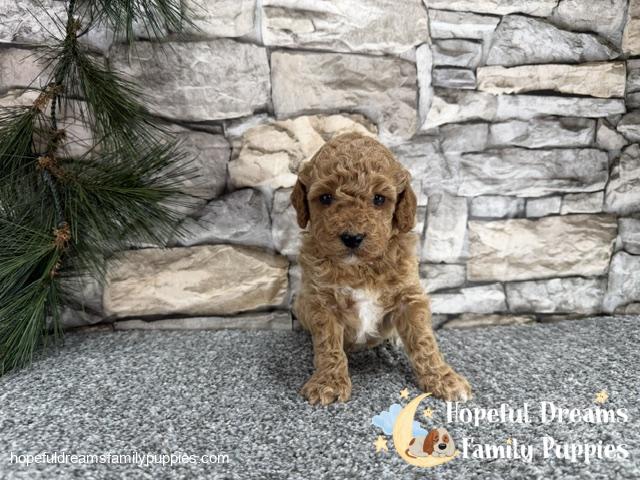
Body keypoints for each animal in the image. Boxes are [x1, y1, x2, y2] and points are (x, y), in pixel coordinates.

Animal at [291, 133, 471, 405]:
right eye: (325, 198)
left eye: (378, 199)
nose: (352, 237)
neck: (360, 267)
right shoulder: (321, 301)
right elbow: (328, 344)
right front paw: (328, 382)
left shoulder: (409, 295)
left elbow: (424, 340)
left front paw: (443, 378)